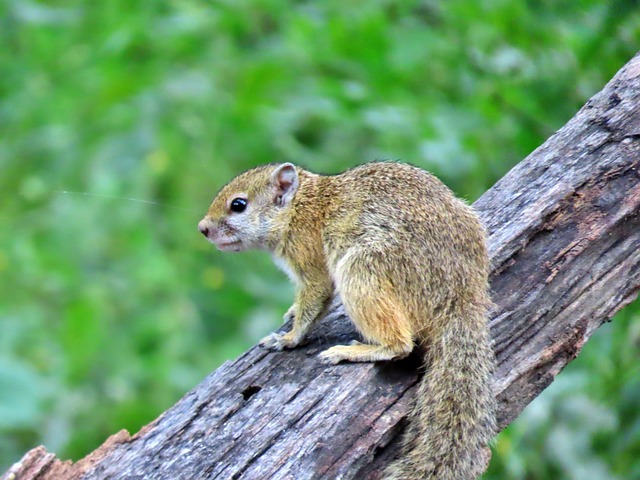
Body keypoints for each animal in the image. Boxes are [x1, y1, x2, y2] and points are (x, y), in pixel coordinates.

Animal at [198, 161, 496, 480]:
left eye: (238, 205)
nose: (203, 228)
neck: (301, 206)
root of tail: (462, 297)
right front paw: (291, 312)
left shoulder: (309, 259)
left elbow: (314, 300)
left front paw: (287, 339)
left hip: (361, 271)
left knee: (399, 344)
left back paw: (350, 351)